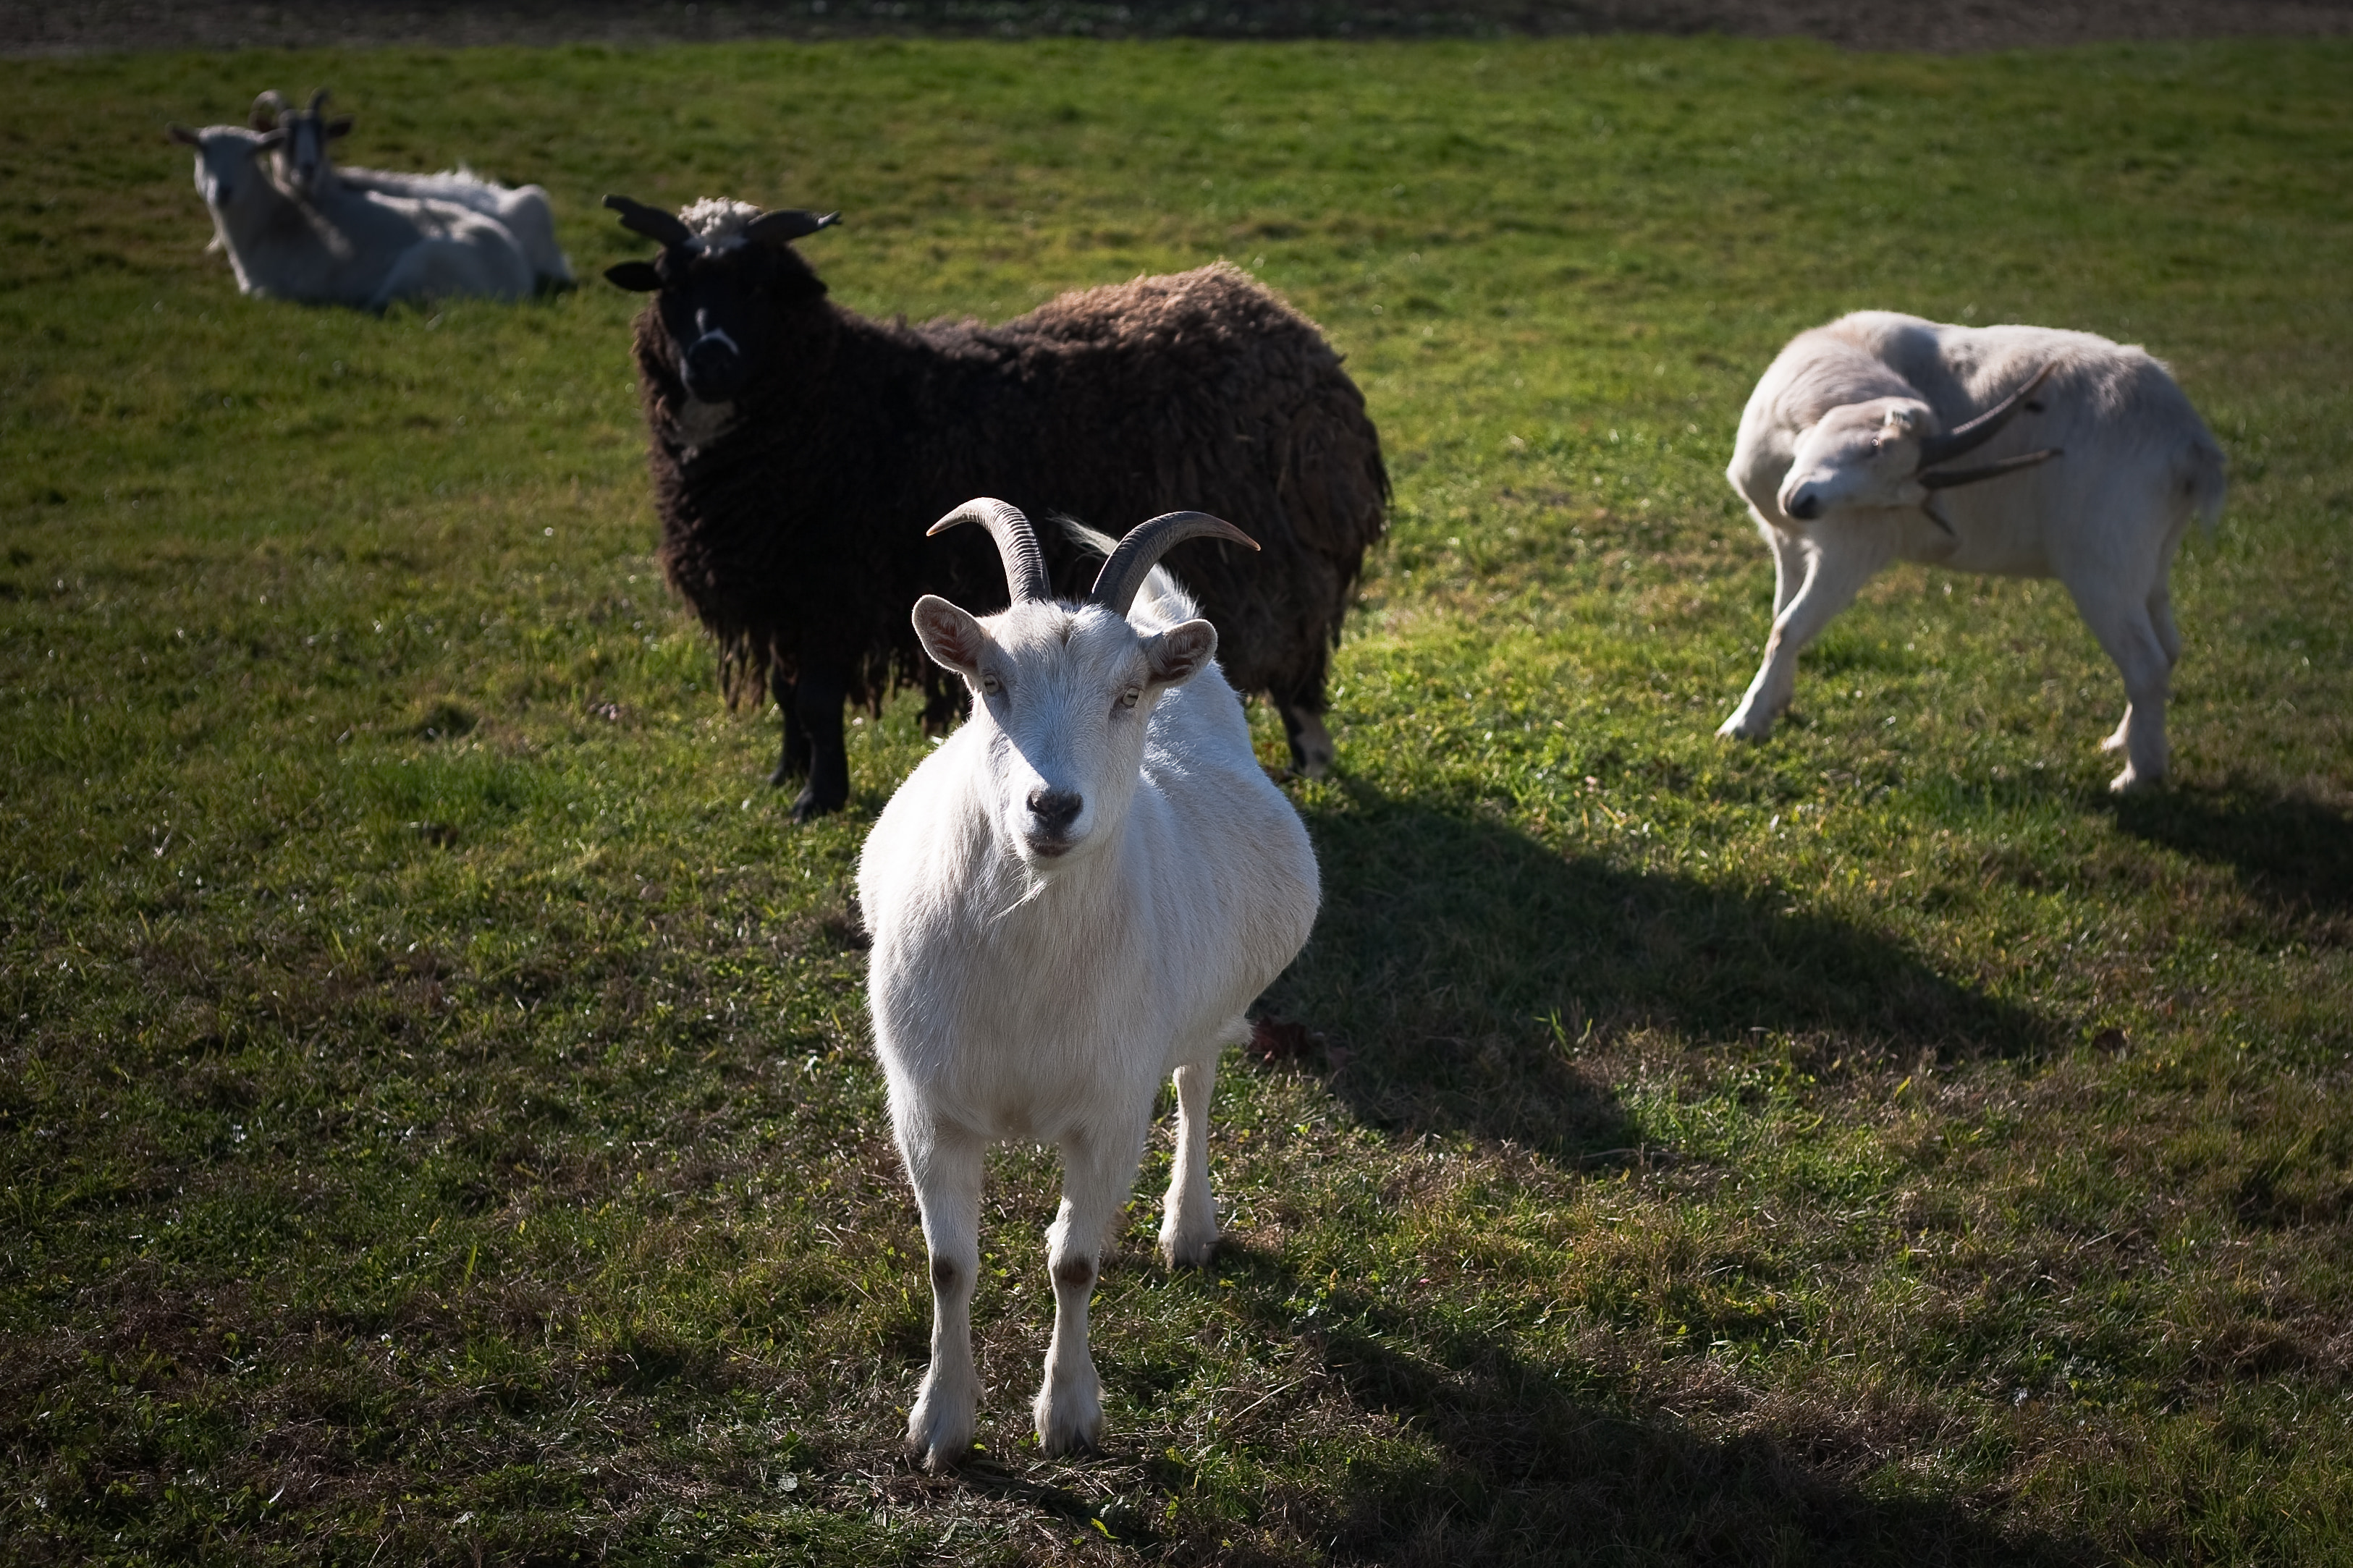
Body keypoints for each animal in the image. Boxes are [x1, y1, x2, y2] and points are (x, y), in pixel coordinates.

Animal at [169, 121, 533, 311]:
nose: (223, 190)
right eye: (202, 150)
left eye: (250, 154)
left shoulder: (271, 288)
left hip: (419, 264)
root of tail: (518, 278)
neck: (271, 222)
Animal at [603, 193, 1388, 818]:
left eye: (760, 284)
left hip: (1273, 560)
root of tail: (1291, 330)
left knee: (1290, 657)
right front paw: (783, 774)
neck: (836, 396)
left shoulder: (833, 588)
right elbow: (785, 691)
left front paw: (816, 799)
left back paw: (1309, 758)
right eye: (669, 284)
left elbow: (819, 699)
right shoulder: (775, 594)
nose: (709, 360)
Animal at [858, 500, 1320, 1468]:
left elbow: (1073, 1262)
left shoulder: (1109, 1110)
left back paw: (1188, 1227)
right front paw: (941, 1423)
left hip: (1205, 1007)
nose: (1052, 807)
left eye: (1127, 694)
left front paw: (1067, 1415)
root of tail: (1168, 629)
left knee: (1196, 1082)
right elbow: (948, 1264)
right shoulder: (927, 1106)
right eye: (990, 681)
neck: (1024, 971)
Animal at [1720, 311, 2226, 791]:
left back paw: (2137, 777)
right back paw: (2120, 741)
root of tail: (2191, 442)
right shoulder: (1788, 544)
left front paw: (1742, 725)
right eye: (1875, 444)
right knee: (2167, 649)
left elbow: (1787, 627)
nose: (1803, 504)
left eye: (1893, 496)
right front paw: (1775, 706)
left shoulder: (1848, 553)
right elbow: (1780, 617)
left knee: (2145, 662)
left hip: (2103, 572)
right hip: (2151, 564)